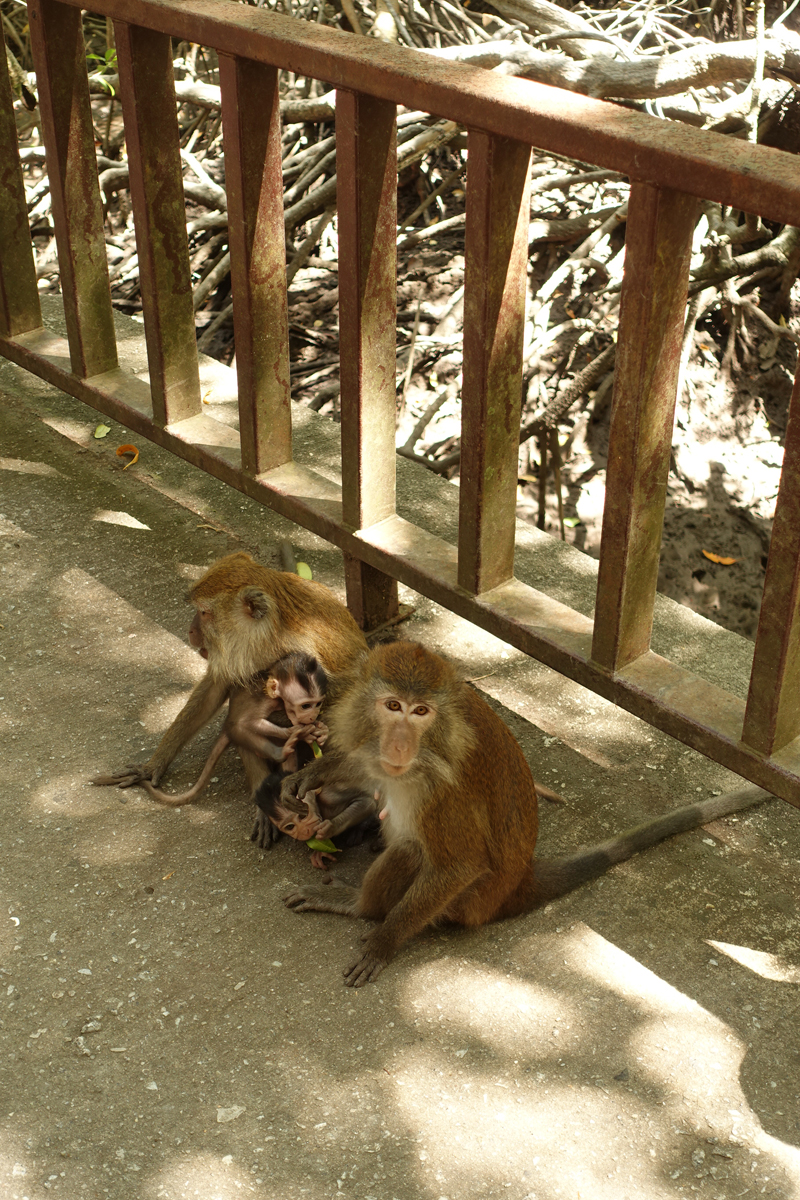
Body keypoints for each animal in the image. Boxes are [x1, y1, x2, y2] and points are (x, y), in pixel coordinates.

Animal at [140, 652, 328, 811]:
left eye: (318, 704)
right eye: (305, 706)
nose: (312, 716)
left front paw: (321, 731)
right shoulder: (267, 701)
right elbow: (247, 722)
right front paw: (298, 731)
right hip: (233, 730)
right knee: (240, 727)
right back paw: (279, 753)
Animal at [283, 643, 777, 988]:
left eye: (420, 711)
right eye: (392, 706)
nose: (400, 744)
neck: (426, 753)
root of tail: (519, 882)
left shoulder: (445, 792)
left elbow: (460, 863)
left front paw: (385, 942)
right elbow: (365, 764)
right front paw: (315, 772)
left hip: (470, 903)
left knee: (412, 850)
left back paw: (363, 908)